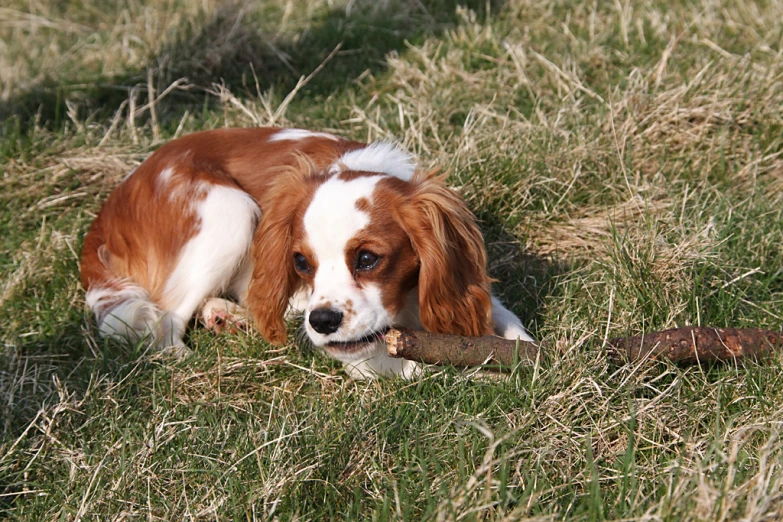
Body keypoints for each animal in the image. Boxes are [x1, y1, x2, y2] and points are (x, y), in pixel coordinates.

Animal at [81, 127, 532, 376]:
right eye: (300, 262)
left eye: (367, 258)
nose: (322, 321)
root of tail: (111, 205)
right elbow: (427, 369)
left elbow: (509, 325)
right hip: (230, 211)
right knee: (165, 325)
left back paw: (225, 314)